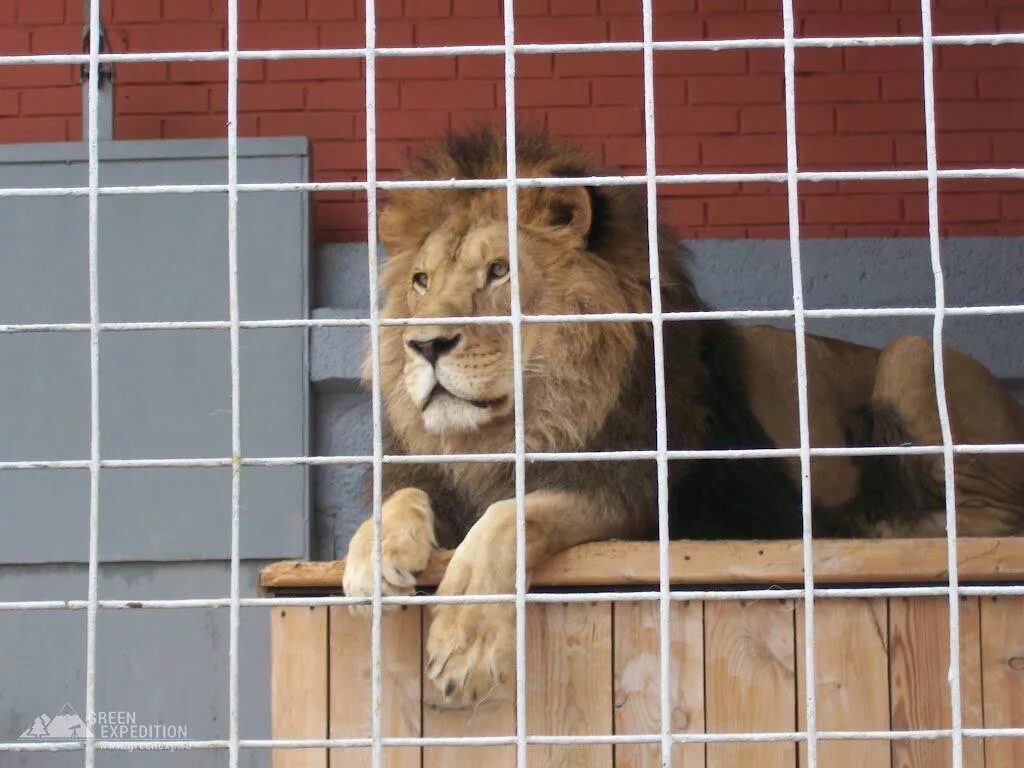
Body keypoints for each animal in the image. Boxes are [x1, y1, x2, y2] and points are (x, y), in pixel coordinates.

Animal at [344, 129, 1024, 708]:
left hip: (912, 355)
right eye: (421, 281)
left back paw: (869, 525)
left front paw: (464, 642)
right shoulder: (438, 472)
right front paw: (371, 559)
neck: (521, 425)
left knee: (991, 517)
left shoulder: (635, 494)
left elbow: (512, 515)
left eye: (500, 271)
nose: (425, 345)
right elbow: (397, 497)